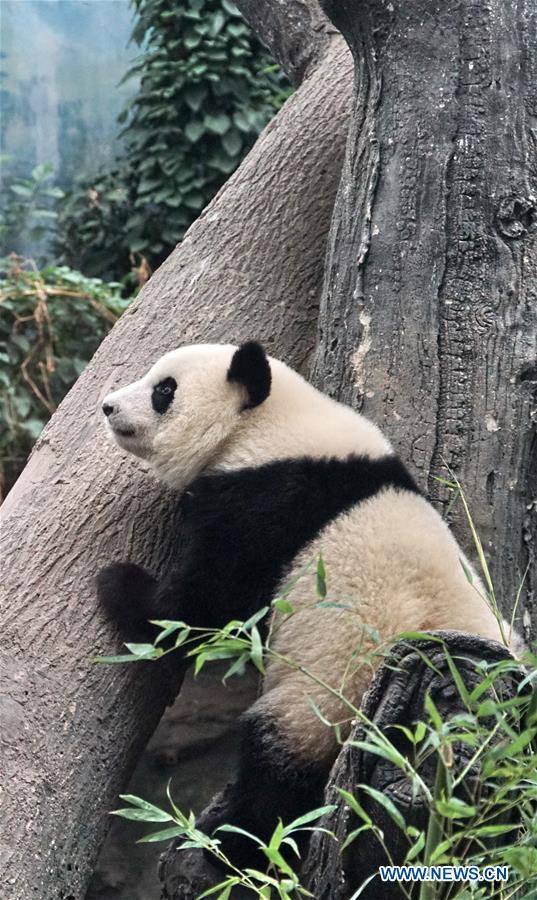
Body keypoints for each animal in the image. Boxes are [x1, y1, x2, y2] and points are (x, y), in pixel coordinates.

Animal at [97, 342, 516, 868]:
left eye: (164, 390)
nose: (108, 406)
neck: (266, 426)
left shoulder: (267, 506)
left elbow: (207, 608)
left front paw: (119, 584)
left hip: (331, 694)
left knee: (280, 766)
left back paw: (236, 843)